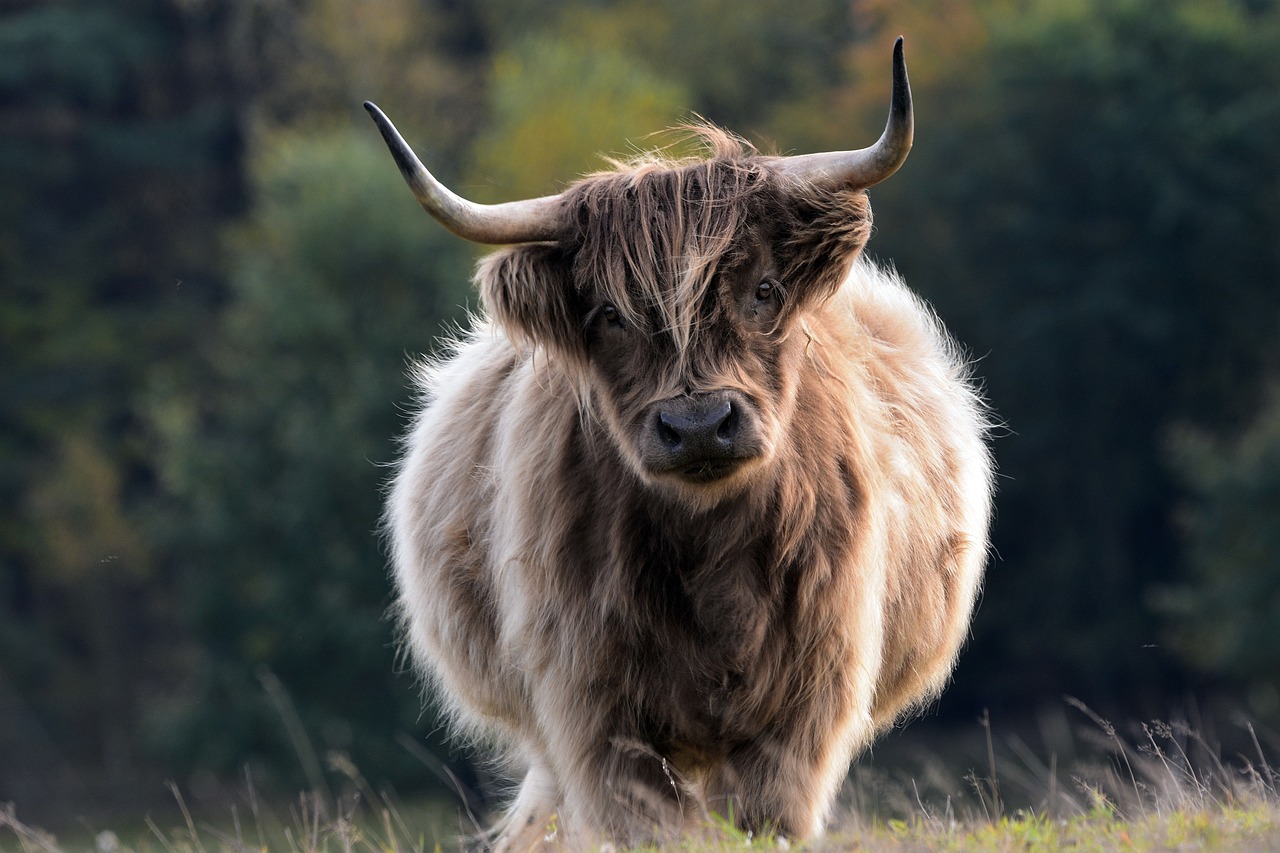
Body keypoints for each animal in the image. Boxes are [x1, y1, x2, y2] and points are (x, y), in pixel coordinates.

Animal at [366, 38, 993, 845]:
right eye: (608, 314)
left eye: (764, 290)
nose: (698, 425)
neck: (710, 556)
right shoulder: (594, 714)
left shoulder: (801, 715)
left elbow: (763, 818)